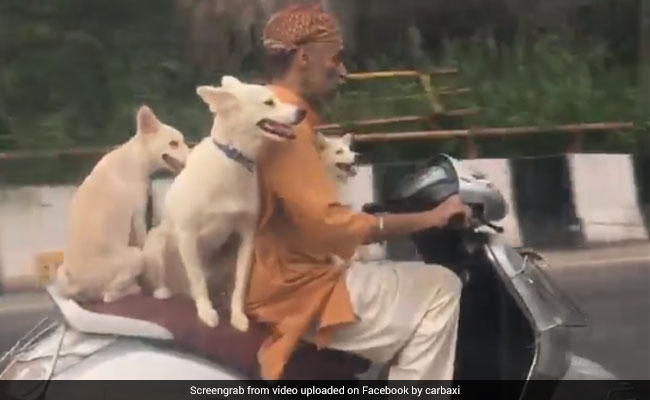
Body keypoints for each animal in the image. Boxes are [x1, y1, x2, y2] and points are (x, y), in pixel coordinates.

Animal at [56, 105, 189, 304]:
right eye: (173, 143)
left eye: (182, 141)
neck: (136, 157)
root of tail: (76, 285)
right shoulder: (138, 216)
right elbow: (144, 240)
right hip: (135, 256)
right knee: (108, 295)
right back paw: (132, 289)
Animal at [153, 76, 306, 332]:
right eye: (269, 102)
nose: (302, 111)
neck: (234, 159)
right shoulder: (187, 234)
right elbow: (198, 279)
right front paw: (206, 312)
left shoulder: (247, 235)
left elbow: (240, 284)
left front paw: (237, 316)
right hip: (156, 244)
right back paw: (163, 291)